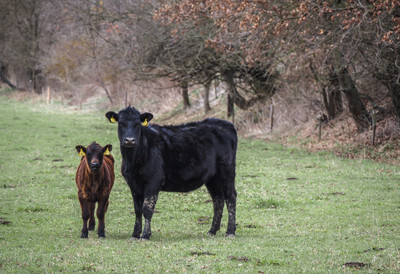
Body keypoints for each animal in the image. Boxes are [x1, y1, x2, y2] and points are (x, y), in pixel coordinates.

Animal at [106, 106, 238, 239]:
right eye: (121, 123)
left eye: (137, 124)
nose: (129, 140)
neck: (134, 160)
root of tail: (225, 124)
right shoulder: (133, 183)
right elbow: (137, 210)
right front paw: (135, 234)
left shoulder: (154, 180)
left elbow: (147, 209)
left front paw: (145, 235)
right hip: (212, 178)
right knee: (218, 200)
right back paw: (212, 230)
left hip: (226, 171)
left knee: (230, 197)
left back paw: (230, 231)